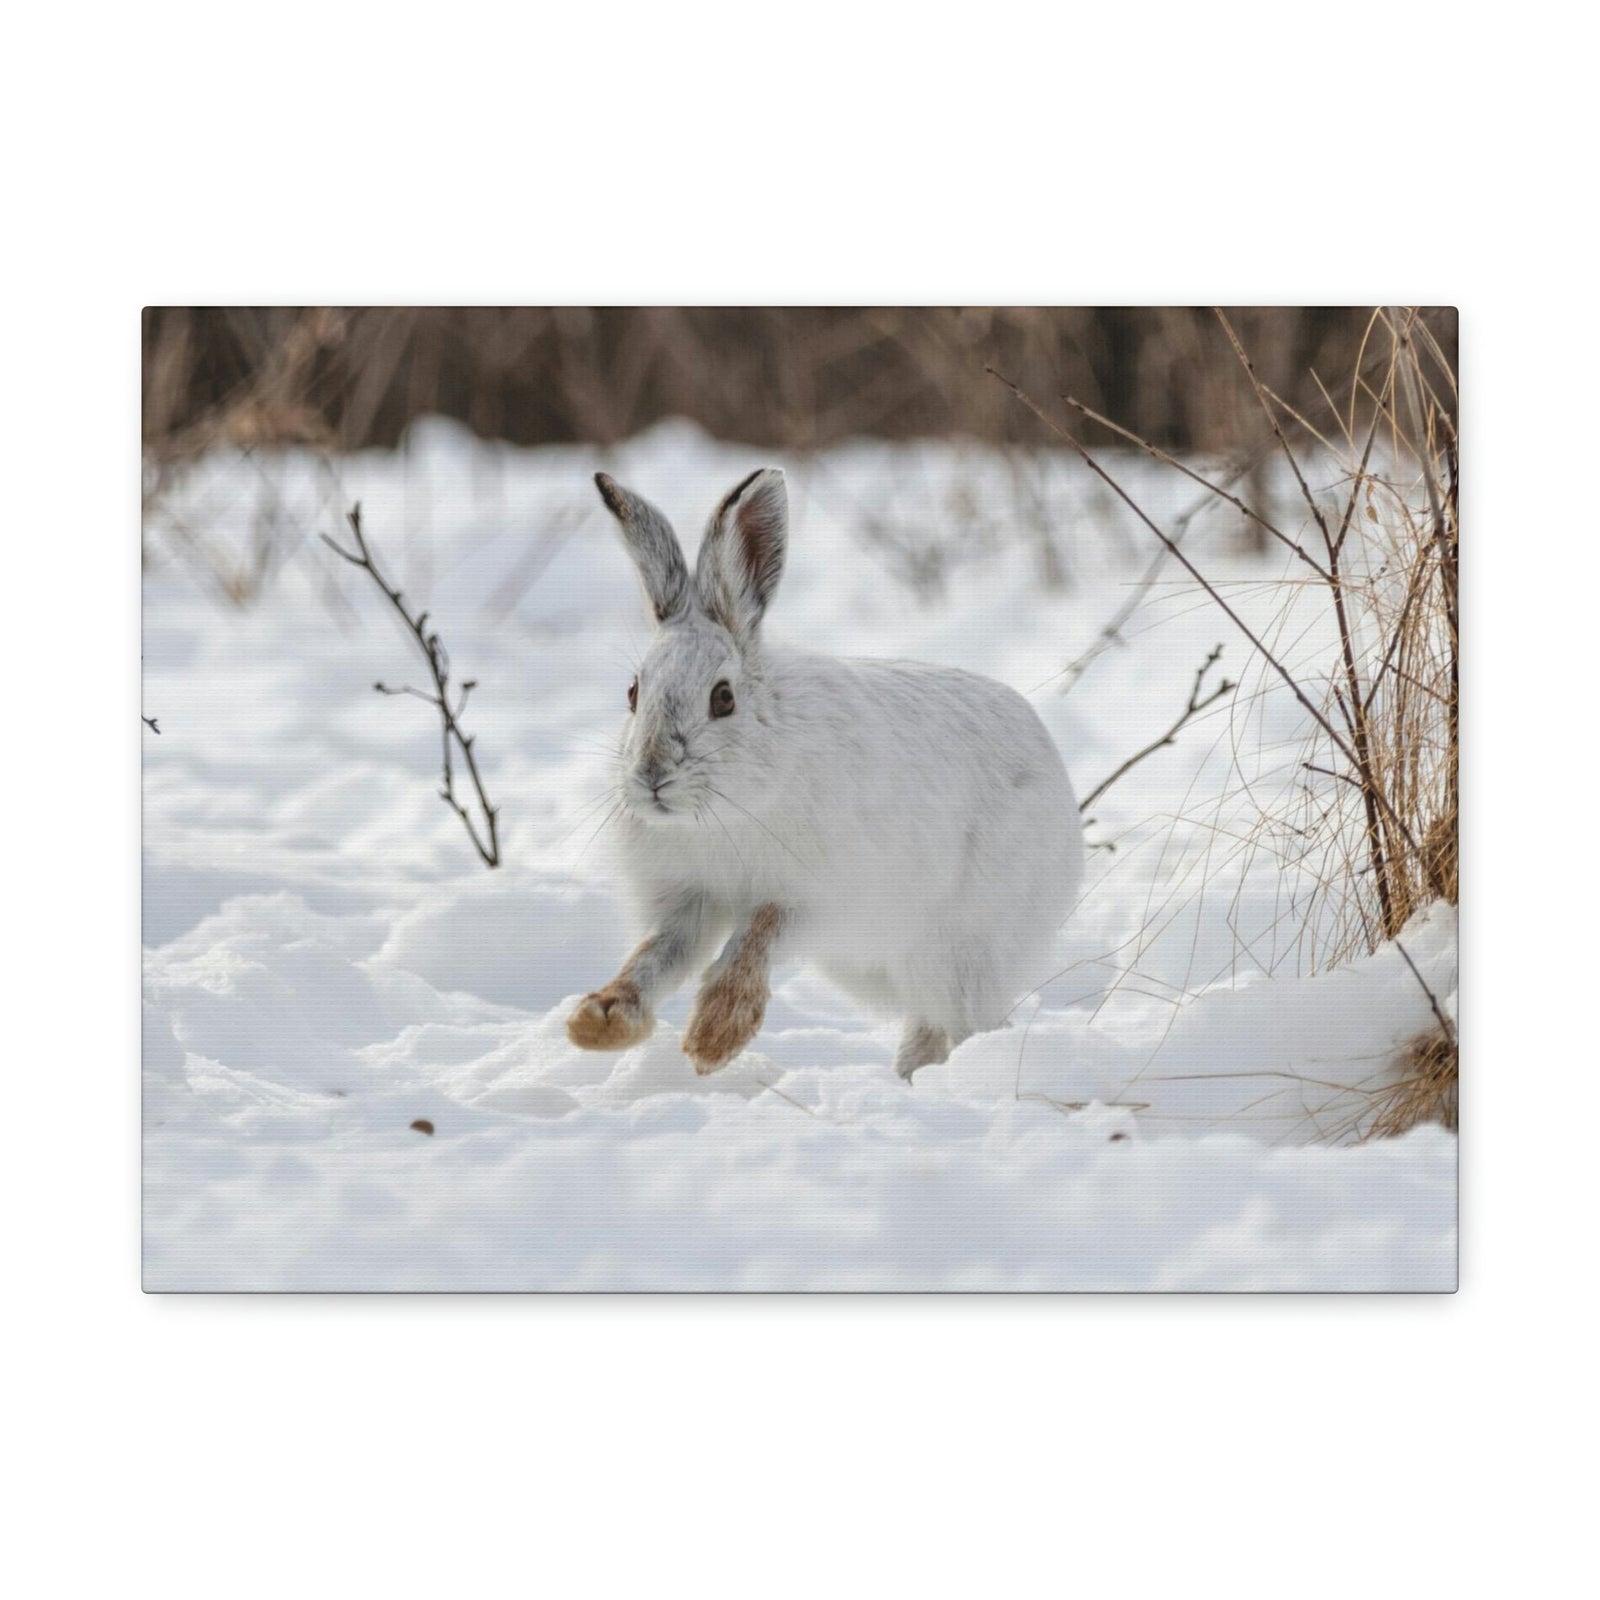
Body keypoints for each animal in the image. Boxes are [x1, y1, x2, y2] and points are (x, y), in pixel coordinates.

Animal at [565, 466, 1085, 1080]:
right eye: (632, 693)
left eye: (723, 699)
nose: (651, 775)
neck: (723, 808)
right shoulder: (687, 901)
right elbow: (656, 956)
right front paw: (599, 1021)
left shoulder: (814, 896)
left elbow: (756, 936)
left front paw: (714, 1037)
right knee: (931, 1026)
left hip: (961, 949)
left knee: (965, 1021)